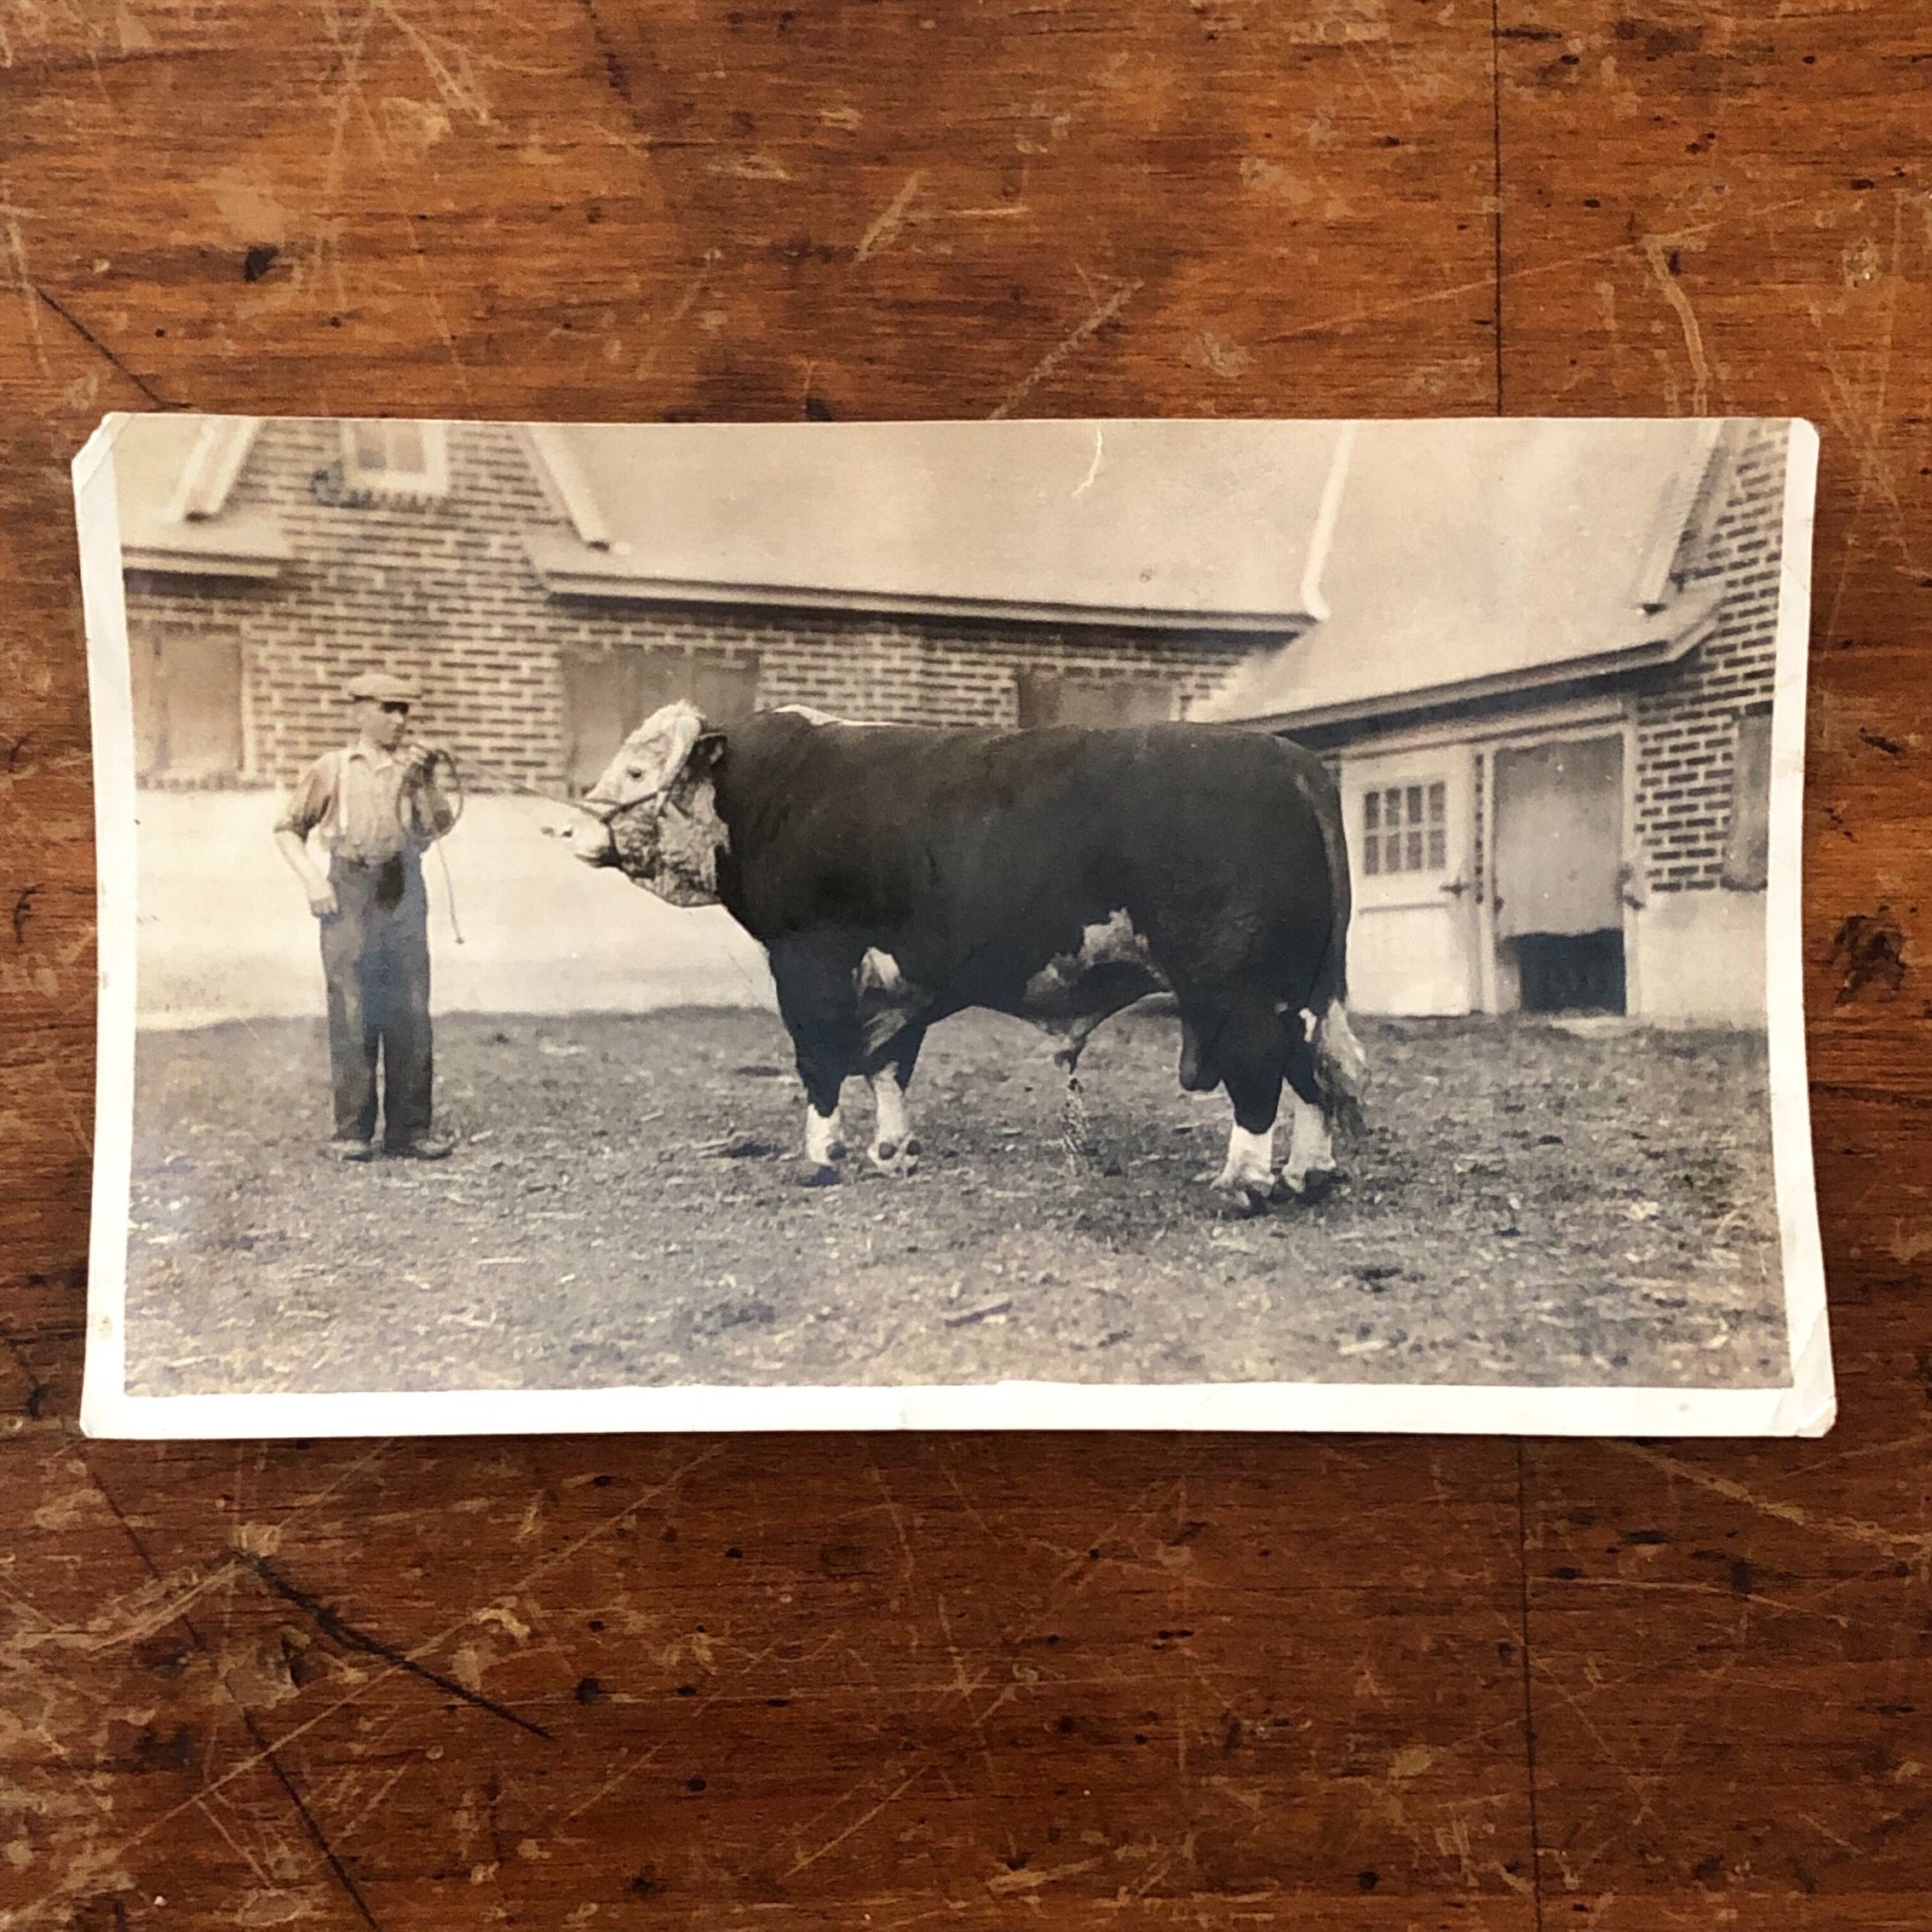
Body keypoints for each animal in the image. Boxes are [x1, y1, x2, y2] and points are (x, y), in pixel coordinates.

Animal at [564, 695, 1367, 1205]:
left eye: (637, 772)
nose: (570, 829)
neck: (766, 796)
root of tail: (1290, 760)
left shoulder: (809, 957)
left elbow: (821, 1058)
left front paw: (822, 1156)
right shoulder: (900, 979)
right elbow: (888, 1063)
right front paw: (893, 1152)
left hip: (1240, 988)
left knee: (1260, 1071)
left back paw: (1244, 1185)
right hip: (1298, 989)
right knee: (1312, 1073)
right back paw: (1309, 1174)